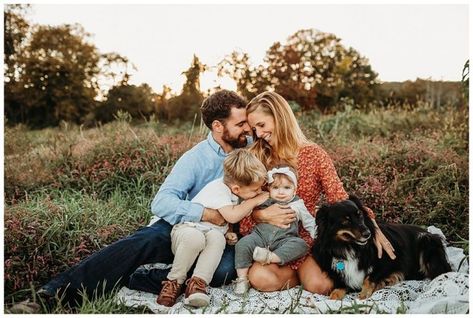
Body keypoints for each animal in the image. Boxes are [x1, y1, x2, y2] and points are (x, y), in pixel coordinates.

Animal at [312, 194, 452, 300]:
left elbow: (369, 277)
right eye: (346, 220)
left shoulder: (391, 261)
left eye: (360, 215)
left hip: (426, 241)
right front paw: (335, 295)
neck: (349, 247)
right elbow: (340, 283)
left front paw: (364, 293)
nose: (368, 234)